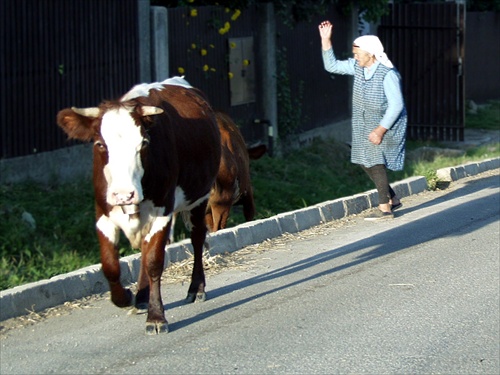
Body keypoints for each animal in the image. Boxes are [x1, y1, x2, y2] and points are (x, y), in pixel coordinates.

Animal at [55, 77, 220, 334]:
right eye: (100, 144)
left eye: (143, 144)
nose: (124, 195)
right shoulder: (103, 214)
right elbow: (110, 266)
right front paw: (125, 297)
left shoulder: (163, 211)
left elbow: (154, 261)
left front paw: (156, 316)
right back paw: (141, 298)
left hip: (199, 198)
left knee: (197, 238)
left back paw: (196, 288)